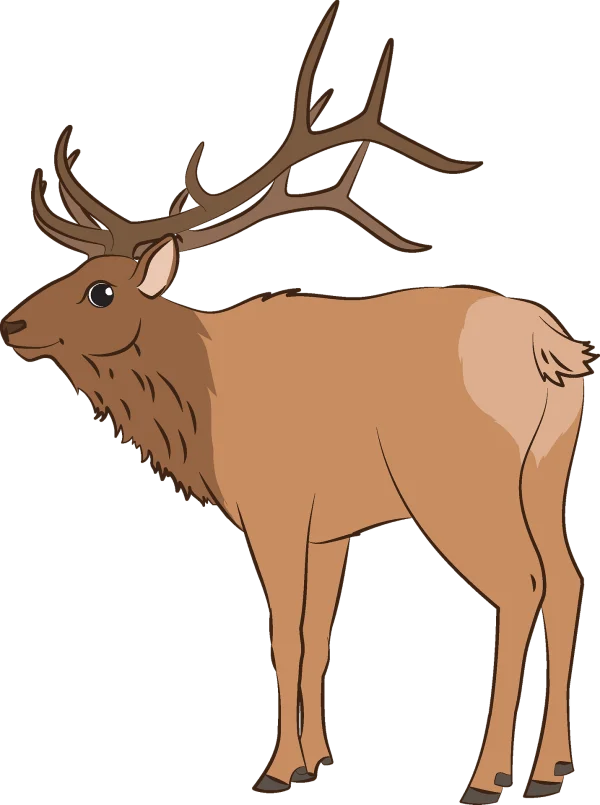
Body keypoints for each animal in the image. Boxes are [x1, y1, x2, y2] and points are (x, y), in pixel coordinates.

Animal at [0, 1, 593, 801]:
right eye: (70, 270)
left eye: (101, 290)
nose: (11, 324)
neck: (202, 404)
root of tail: (554, 347)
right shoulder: (330, 526)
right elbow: (318, 636)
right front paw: (316, 759)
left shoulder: (274, 506)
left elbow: (282, 634)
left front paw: (275, 768)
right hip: (546, 474)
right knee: (567, 580)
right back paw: (552, 768)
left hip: (459, 484)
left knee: (519, 585)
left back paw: (485, 773)